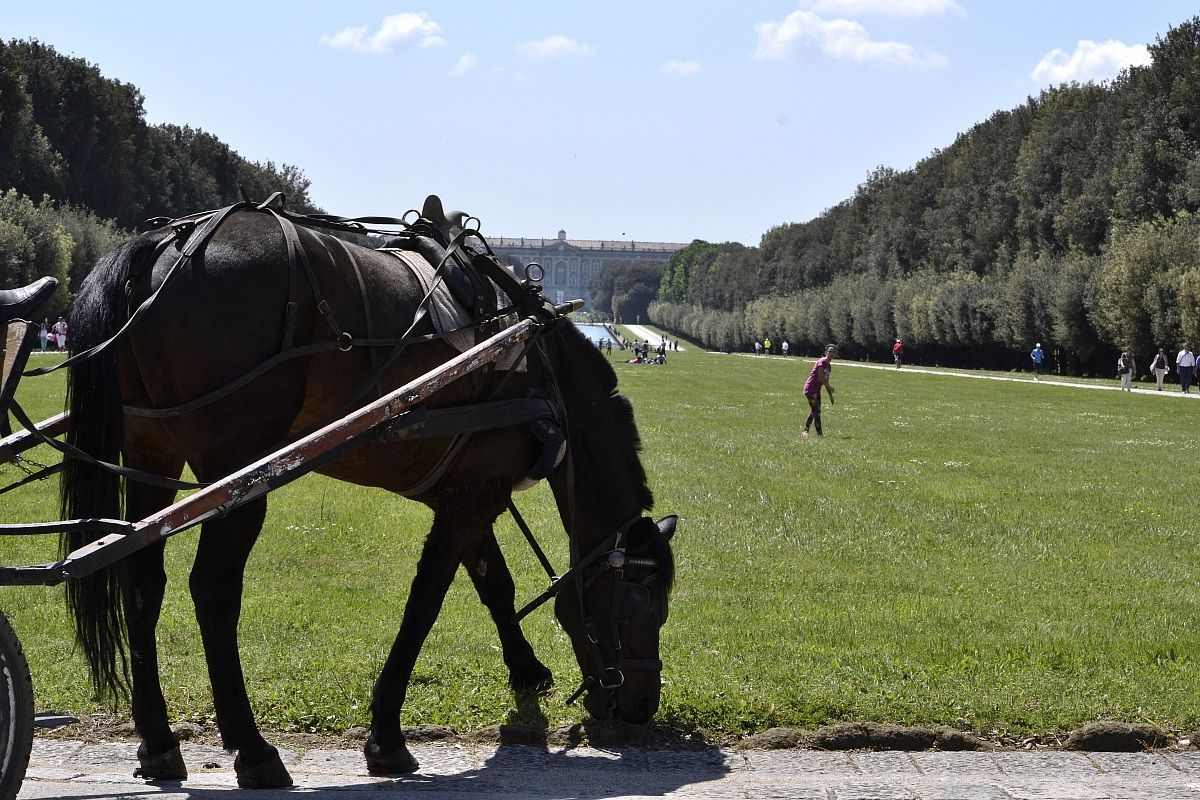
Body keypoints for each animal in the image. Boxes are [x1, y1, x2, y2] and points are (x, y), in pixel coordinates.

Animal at [59, 203, 677, 788]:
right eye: (643, 603)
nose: (643, 705)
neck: (538, 361)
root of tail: (163, 240)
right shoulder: (473, 495)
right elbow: (425, 604)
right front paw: (386, 735)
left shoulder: (467, 490)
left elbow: (493, 583)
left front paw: (525, 670)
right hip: (236, 475)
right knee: (212, 589)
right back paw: (254, 750)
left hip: (150, 456)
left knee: (141, 579)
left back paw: (159, 743)